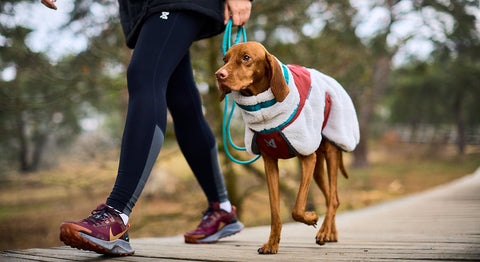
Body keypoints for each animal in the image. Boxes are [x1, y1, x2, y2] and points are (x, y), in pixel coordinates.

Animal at [216, 41, 358, 254]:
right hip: (317, 166)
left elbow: (297, 209)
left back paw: (324, 232)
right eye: (225, 59)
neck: (262, 108)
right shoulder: (270, 163)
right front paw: (271, 243)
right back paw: (331, 232)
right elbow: (275, 212)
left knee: (333, 198)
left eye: (246, 58)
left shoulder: (306, 158)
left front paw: (311, 217)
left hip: (331, 150)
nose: (219, 74)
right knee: (332, 198)